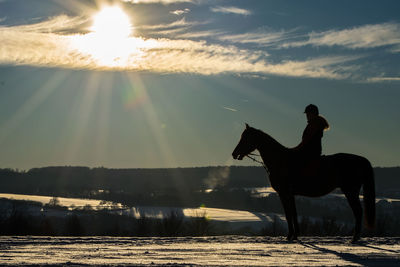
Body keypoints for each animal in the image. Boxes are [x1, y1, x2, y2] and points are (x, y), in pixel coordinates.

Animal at [231, 124, 376, 244]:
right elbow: (293, 213)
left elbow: (288, 214)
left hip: (350, 191)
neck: (280, 160)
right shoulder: (291, 194)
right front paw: (295, 235)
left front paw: (290, 236)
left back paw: (354, 238)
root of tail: (362, 160)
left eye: (245, 138)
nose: (234, 153)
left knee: (358, 212)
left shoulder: (284, 193)